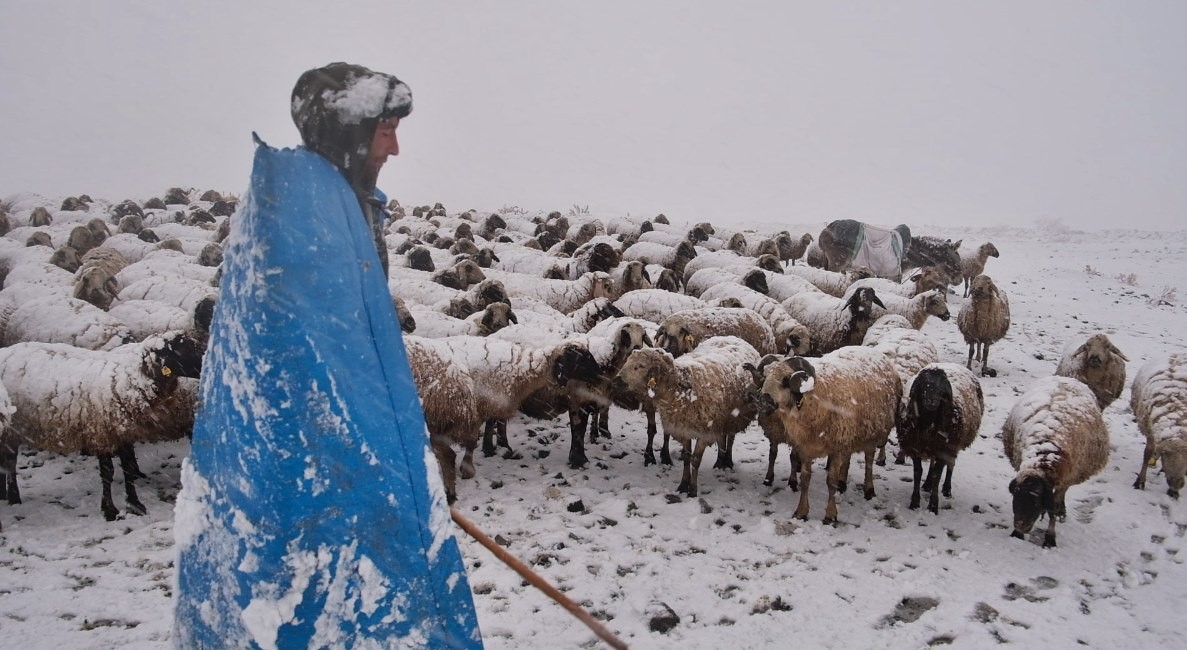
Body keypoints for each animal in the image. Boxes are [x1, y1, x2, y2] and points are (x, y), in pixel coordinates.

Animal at [0, 332, 206, 519]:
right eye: (183, 350)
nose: (207, 364)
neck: (128, 381)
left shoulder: (123, 433)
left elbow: (128, 469)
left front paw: (135, 504)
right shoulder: (101, 434)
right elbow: (108, 473)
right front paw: (109, 510)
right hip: (11, 430)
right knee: (10, 462)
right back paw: (13, 497)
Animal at [612, 336, 759, 495]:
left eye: (640, 366)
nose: (616, 381)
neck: (681, 389)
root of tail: (731, 337)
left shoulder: (705, 432)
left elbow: (695, 460)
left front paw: (693, 490)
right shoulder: (684, 428)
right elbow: (687, 458)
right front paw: (683, 485)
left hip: (734, 417)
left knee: (730, 437)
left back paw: (727, 461)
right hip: (720, 419)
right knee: (721, 437)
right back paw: (719, 461)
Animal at [759, 346, 897, 521]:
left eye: (785, 380)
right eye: (765, 377)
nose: (764, 403)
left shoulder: (836, 448)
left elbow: (830, 481)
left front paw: (830, 515)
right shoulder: (805, 448)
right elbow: (805, 480)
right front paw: (801, 511)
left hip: (871, 433)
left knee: (869, 460)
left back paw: (868, 489)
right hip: (850, 435)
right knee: (849, 457)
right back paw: (842, 483)